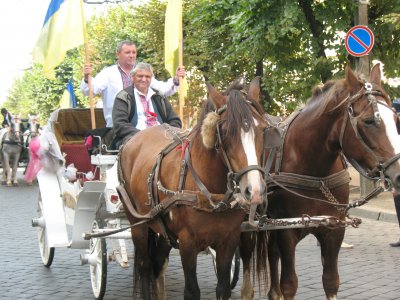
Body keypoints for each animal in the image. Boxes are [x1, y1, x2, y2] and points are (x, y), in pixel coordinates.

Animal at [118, 78, 268, 300]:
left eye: (263, 130)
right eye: (225, 131)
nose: (254, 190)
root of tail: (131, 142)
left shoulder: (229, 240)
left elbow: (223, 288)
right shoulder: (187, 243)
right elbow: (191, 291)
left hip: (163, 230)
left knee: (158, 263)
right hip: (138, 224)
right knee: (145, 266)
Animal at [239, 63, 400, 300]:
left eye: (396, 120)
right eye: (369, 121)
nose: (398, 173)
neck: (316, 173)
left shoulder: (334, 229)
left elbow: (331, 281)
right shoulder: (287, 231)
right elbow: (290, 284)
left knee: (272, 253)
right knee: (246, 253)